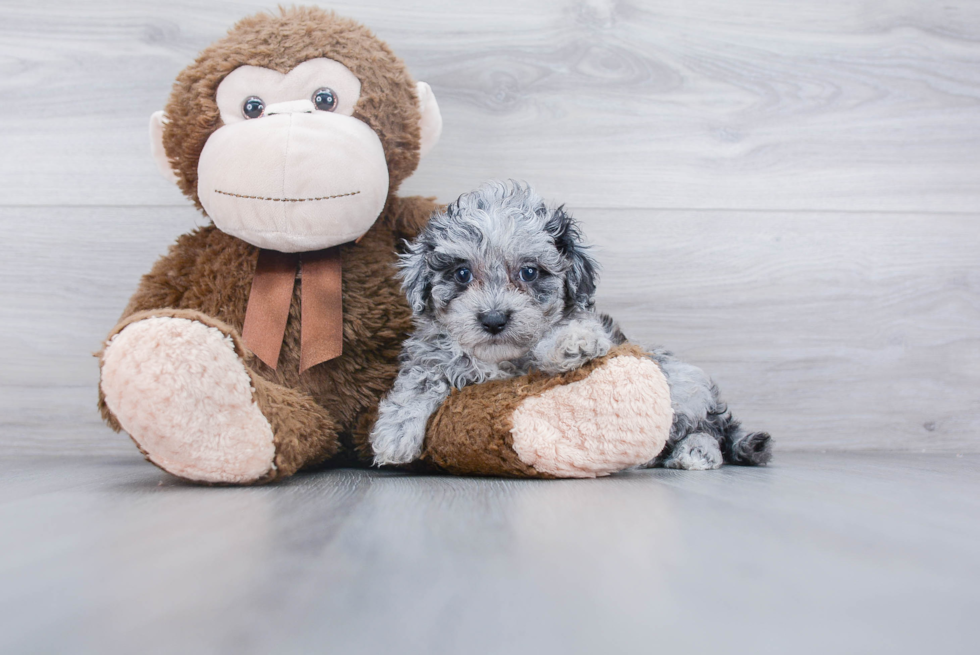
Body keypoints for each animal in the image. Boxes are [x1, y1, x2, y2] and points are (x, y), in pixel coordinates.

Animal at [370, 179, 772, 472]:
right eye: (462, 274)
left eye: (529, 272)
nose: (494, 319)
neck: (500, 360)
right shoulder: (431, 353)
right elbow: (421, 380)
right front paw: (395, 434)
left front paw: (571, 341)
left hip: (682, 387)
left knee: (709, 429)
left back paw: (698, 452)